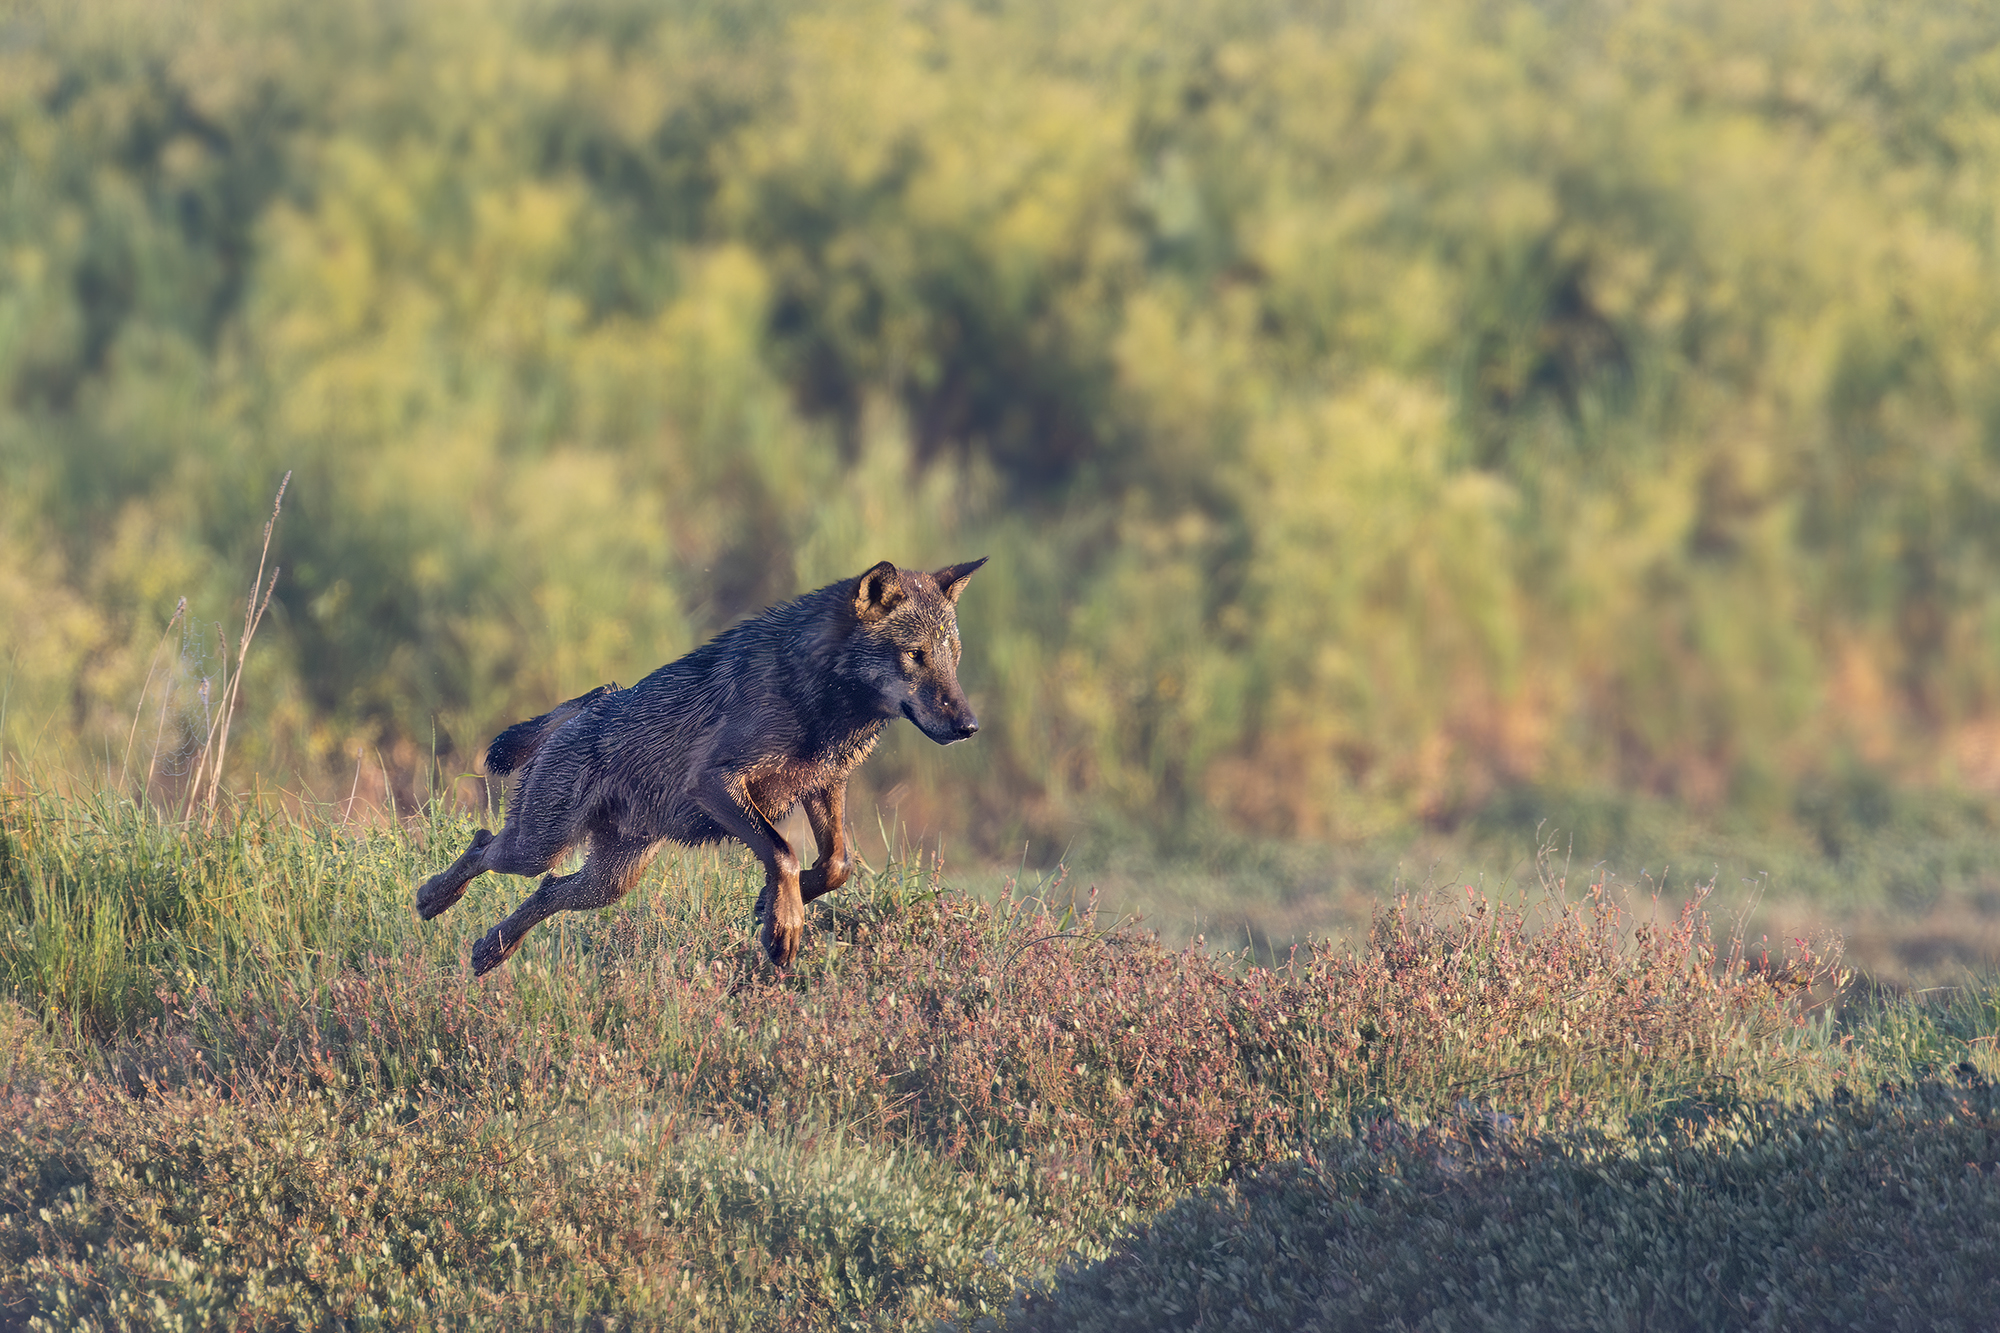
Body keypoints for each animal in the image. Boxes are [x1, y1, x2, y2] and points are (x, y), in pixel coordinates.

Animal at [416, 558, 985, 975]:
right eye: (914, 655)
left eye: (953, 658)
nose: (969, 726)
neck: (822, 701)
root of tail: (596, 701)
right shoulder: (715, 783)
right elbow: (783, 852)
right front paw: (782, 929)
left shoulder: (825, 784)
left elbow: (835, 864)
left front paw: (771, 905)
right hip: (540, 847)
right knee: (485, 844)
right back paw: (433, 899)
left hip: (608, 882)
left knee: (546, 890)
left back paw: (491, 949)